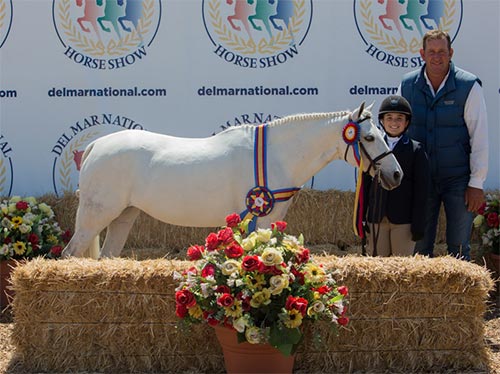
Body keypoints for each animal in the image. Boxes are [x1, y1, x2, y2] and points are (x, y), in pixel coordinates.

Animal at [60, 103, 402, 258]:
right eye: (368, 137)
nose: (395, 174)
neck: (277, 155)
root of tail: (95, 146)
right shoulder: (261, 218)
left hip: (123, 215)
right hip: (96, 215)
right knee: (70, 254)